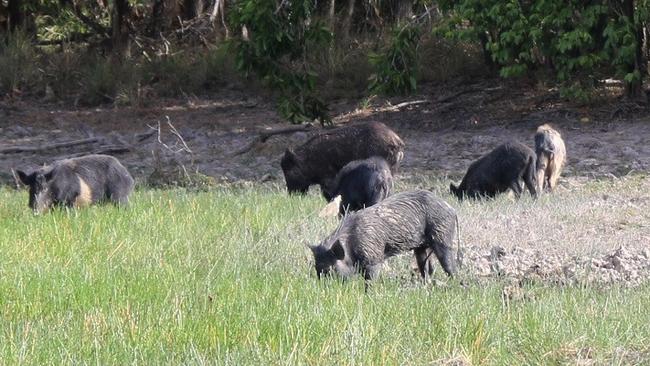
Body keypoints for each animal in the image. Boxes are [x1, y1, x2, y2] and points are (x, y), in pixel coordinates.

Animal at [308, 190, 456, 284]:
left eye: (330, 269)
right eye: (316, 268)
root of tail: (450, 208)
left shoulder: (374, 258)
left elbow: (370, 280)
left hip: (443, 236)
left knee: (449, 265)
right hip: (421, 247)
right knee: (427, 268)